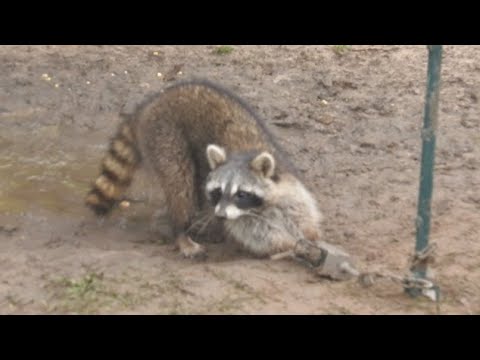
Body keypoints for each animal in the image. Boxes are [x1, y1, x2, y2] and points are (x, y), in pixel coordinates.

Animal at [85, 79, 322, 258]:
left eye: (241, 194)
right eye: (218, 191)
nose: (221, 215)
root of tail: (150, 105)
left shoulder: (283, 177)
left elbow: (298, 205)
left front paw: (307, 234)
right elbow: (254, 233)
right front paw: (287, 244)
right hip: (165, 138)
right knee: (180, 185)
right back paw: (182, 232)